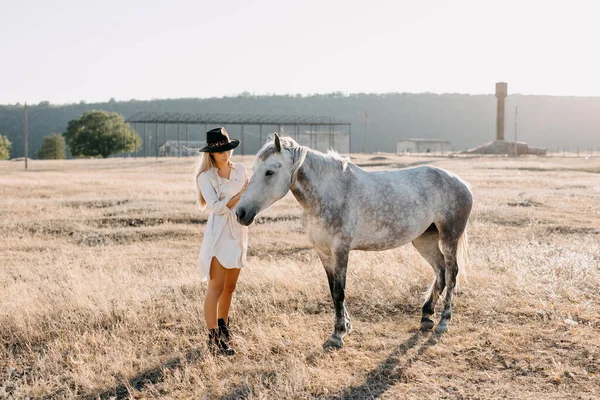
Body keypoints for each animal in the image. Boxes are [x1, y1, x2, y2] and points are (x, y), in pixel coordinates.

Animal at [237, 134, 472, 350]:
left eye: (269, 172)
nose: (241, 212)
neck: (331, 193)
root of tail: (462, 183)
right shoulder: (323, 252)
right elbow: (332, 290)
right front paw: (346, 326)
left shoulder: (341, 250)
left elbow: (339, 291)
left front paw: (337, 335)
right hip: (424, 240)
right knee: (440, 271)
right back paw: (426, 316)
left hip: (449, 237)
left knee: (452, 273)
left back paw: (443, 321)